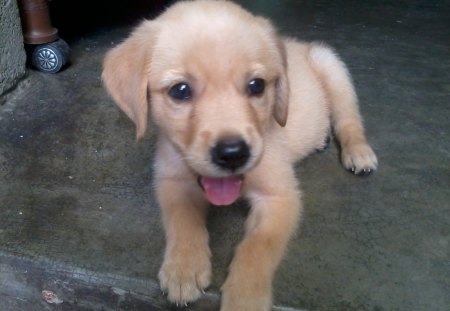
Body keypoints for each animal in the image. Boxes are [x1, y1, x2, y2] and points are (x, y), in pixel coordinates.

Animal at [101, 1, 376, 310]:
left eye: (257, 85)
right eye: (180, 90)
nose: (232, 154)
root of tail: (298, 44)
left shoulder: (279, 197)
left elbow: (258, 247)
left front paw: (246, 297)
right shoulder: (171, 179)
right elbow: (182, 220)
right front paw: (184, 268)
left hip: (331, 66)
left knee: (348, 119)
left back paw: (358, 152)